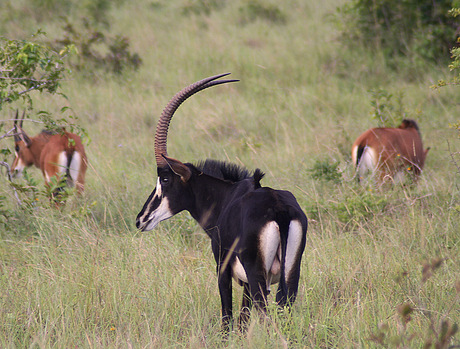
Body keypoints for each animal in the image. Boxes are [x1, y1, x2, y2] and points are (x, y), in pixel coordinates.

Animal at [137, 73, 310, 332]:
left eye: (165, 179)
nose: (141, 219)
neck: (227, 196)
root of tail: (279, 209)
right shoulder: (247, 282)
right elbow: (243, 318)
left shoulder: (223, 268)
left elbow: (228, 317)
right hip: (291, 273)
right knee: (283, 307)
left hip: (257, 274)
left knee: (263, 311)